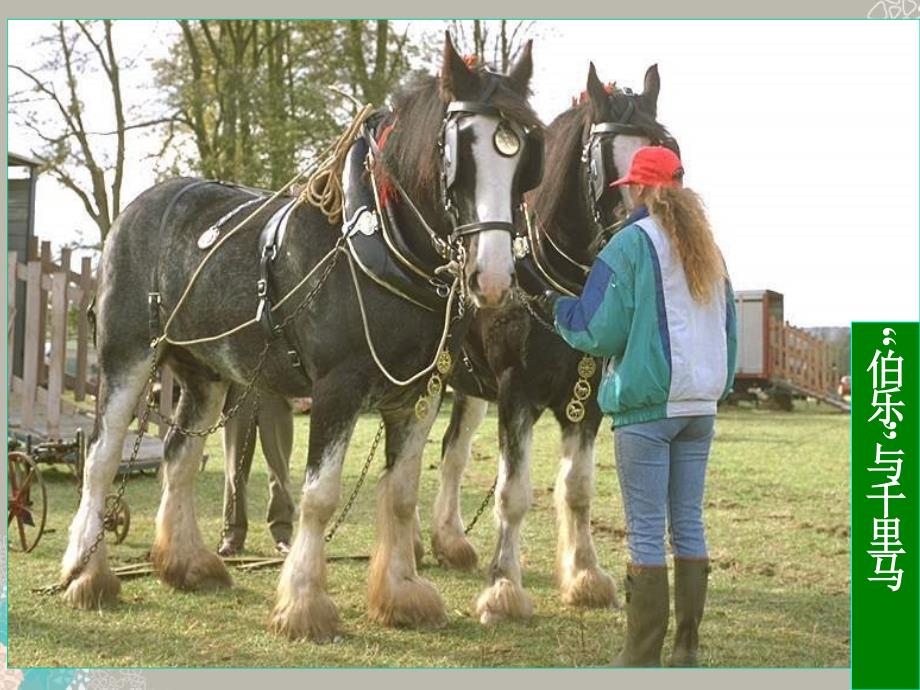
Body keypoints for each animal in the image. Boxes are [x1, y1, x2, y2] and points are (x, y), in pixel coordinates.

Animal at [428, 63, 680, 624]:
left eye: (667, 152)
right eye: (605, 164)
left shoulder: (587, 401)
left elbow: (578, 488)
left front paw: (585, 575)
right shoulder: (515, 392)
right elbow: (513, 492)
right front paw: (503, 587)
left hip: (469, 388)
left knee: (453, 451)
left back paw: (448, 540)